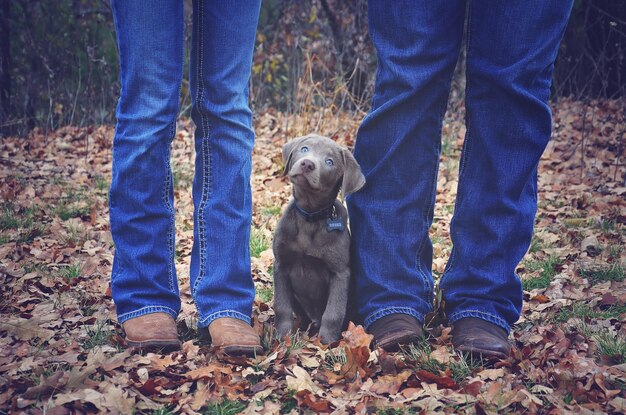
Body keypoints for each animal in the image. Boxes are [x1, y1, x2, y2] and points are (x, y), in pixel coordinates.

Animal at [272, 134, 366, 344]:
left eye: (329, 162)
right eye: (305, 149)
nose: (307, 164)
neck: (310, 217)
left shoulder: (340, 273)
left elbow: (333, 312)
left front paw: (327, 342)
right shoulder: (281, 265)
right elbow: (281, 306)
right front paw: (283, 336)